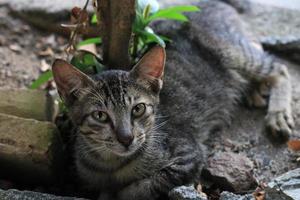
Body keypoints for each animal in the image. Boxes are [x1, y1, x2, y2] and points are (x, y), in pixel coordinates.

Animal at [51, 0, 292, 199]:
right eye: (100, 116)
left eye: (138, 109)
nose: (126, 138)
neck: (111, 165)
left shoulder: (189, 157)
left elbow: (144, 185)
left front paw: (121, 192)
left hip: (234, 52)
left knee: (277, 66)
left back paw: (278, 115)